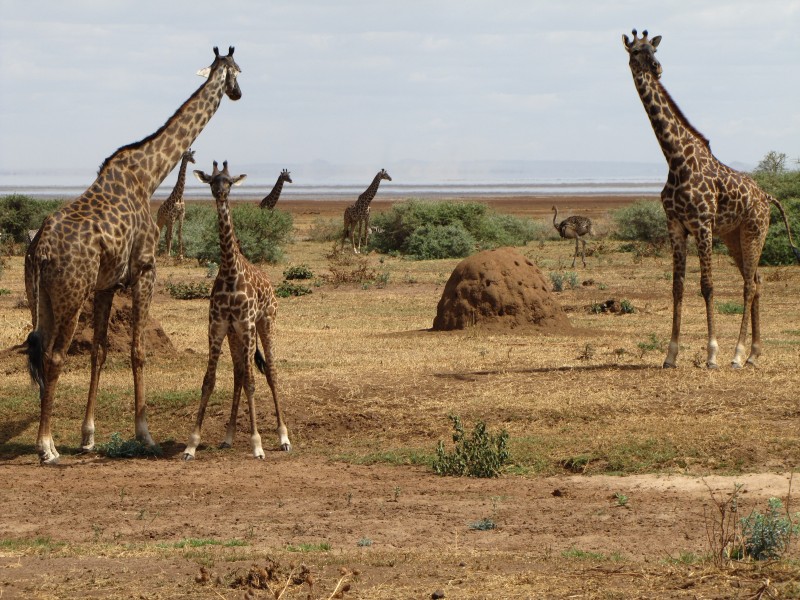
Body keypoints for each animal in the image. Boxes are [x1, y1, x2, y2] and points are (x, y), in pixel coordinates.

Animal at [24, 47, 244, 464]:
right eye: (237, 71)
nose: (239, 93)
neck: (148, 175)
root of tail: (39, 248)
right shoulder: (145, 269)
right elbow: (138, 351)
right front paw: (145, 434)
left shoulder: (106, 284)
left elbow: (99, 351)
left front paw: (88, 436)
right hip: (70, 295)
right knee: (55, 357)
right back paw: (47, 447)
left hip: (39, 297)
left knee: (41, 351)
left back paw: (49, 440)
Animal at [184, 159, 290, 460]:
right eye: (212, 180)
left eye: (229, 182)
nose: (220, 194)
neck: (231, 273)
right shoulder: (218, 327)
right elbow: (209, 380)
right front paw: (191, 444)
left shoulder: (247, 325)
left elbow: (254, 382)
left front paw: (257, 444)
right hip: (235, 335)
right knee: (239, 373)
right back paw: (228, 437)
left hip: (266, 324)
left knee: (271, 372)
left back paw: (283, 437)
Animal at [624, 29, 800, 370]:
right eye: (636, 51)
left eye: (654, 49)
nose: (657, 68)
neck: (675, 158)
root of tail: (767, 196)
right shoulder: (676, 226)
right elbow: (677, 287)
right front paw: (671, 355)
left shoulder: (703, 224)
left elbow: (707, 286)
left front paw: (712, 353)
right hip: (734, 237)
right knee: (757, 279)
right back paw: (754, 353)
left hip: (755, 230)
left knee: (749, 284)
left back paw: (737, 354)